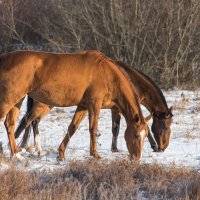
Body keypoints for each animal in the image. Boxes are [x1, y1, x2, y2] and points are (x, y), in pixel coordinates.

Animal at [0, 50, 148, 160]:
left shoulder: (83, 106)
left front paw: (61, 154)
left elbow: (72, 128)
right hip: (9, 100)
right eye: (136, 135)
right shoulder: (94, 104)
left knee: (10, 124)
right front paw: (95, 154)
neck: (107, 73)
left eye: (145, 136)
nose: (137, 158)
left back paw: (16, 155)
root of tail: (4, 59)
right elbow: (93, 128)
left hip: (18, 101)